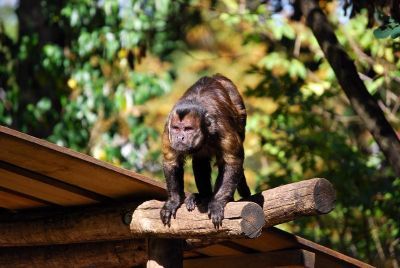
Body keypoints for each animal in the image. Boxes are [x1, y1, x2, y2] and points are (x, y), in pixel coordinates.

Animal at [159, 74, 250, 227]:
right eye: (176, 128)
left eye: (188, 129)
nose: (180, 137)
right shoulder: (168, 128)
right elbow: (171, 162)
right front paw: (173, 201)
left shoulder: (222, 128)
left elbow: (232, 161)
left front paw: (217, 202)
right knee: (200, 160)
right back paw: (203, 196)